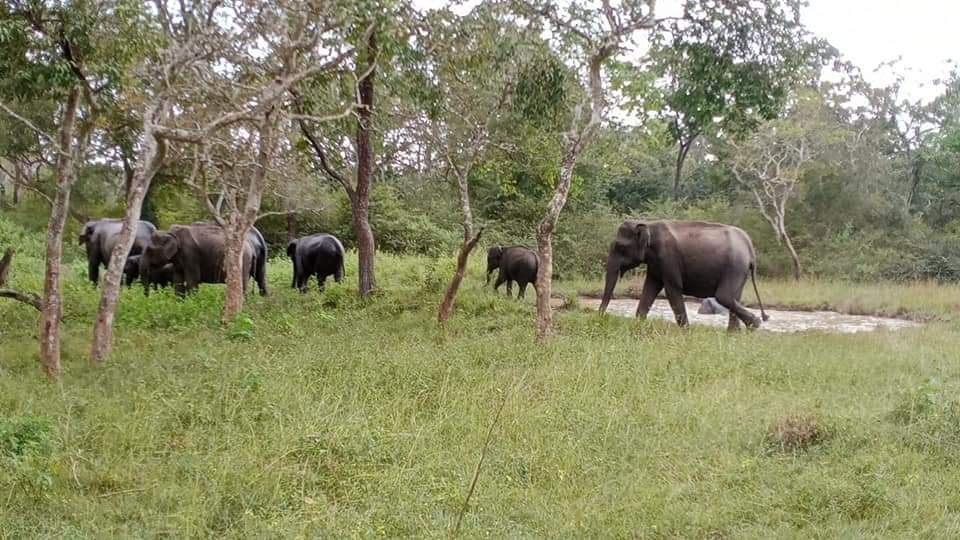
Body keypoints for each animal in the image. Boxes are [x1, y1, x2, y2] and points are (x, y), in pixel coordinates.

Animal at [600, 220, 772, 330]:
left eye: (620, 247)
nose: (600, 316)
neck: (648, 224)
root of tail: (749, 246)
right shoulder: (656, 264)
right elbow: (650, 288)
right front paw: (639, 323)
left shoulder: (669, 259)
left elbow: (672, 290)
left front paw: (685, 330)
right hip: (739, 269)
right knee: (734, 297)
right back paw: (735, 333)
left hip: (735, 266)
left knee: (724, 296)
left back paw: (755, 324)